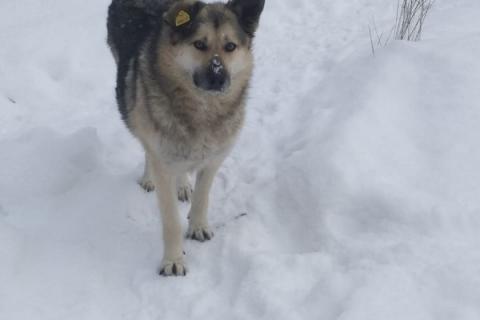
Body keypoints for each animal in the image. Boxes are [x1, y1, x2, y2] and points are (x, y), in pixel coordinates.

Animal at [107, 0, 264, 276]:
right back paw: (149, 178)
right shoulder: (162, 157)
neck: (202, 110)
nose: (218, 78)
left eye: (230, 47)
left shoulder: (213, 158)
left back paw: (182, 185)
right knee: (147, 146)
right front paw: (173, 260)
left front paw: (198, 225)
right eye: (199, 44)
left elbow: (203, 196)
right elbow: (171, 220)